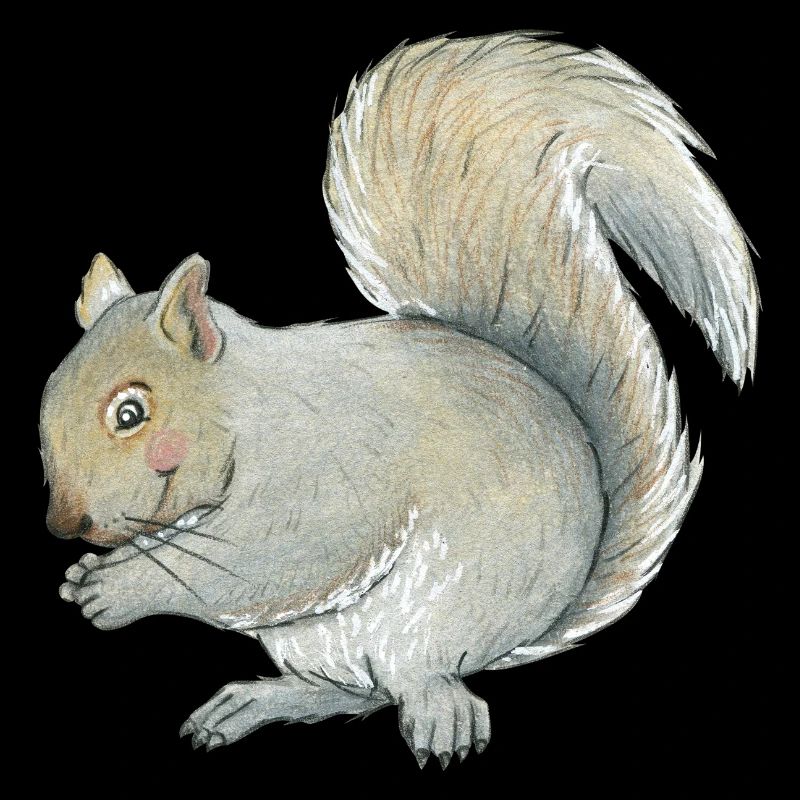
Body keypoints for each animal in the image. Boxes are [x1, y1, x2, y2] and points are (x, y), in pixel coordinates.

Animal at [41, 32, 758, 768]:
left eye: (131, 413)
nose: (64, 525)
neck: (247, 411)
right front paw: (90, 572)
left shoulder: (323, 485)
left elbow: (259, 561)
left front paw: (119, 587)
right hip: (317, 640)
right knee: (355, 692)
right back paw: (253, 703)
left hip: (441, 615)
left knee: (412, 680)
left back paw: (440, 715)